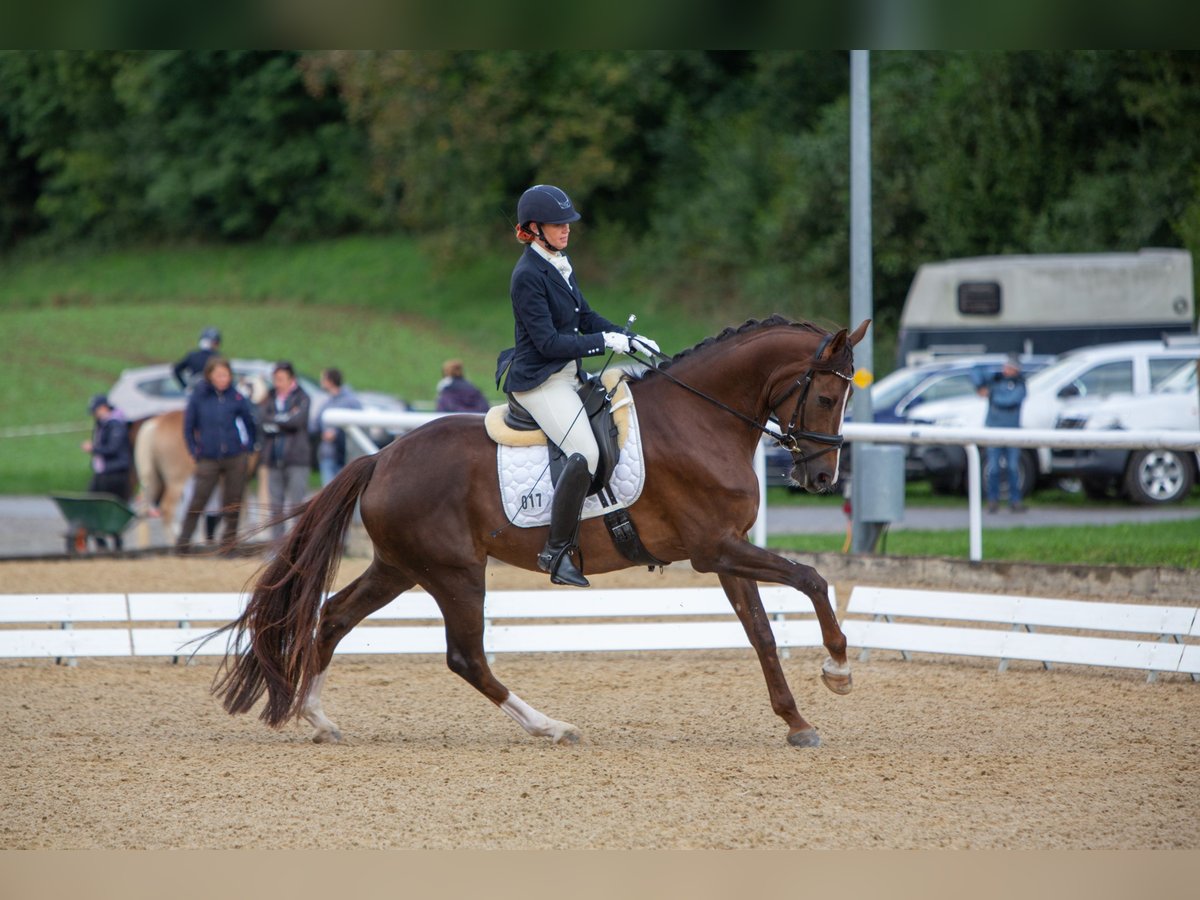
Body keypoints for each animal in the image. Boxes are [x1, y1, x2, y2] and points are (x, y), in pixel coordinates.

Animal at [216, 316, 868, 748]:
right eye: (827, 396)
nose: (821, 477)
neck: (701, 419)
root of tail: (381, 456)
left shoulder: (728, 551)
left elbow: (762, 632)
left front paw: (796, 722)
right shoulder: (716, 548)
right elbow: (811, 579)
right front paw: (838, 670)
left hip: (400, 567)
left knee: (333, 616)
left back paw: (319, 719)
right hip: (455, 572)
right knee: (465, 657)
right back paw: (551, 726)